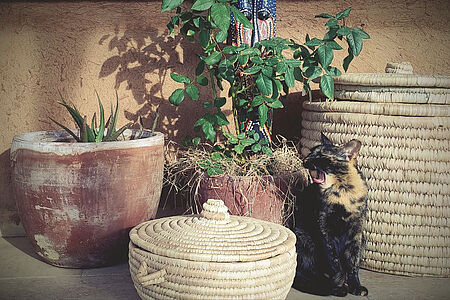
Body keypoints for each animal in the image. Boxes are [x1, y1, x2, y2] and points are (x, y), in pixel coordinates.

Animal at [292, 134, 370, 298]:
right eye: (311, 152)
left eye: (321, 156)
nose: (305, 160)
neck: (343, 192)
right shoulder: (324, 230)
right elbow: (335, 263)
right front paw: (340, 287)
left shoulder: (356, 233)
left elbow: (352, 264)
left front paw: (356, 286)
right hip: (305, 239)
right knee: (312, 272)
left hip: (363, 239)